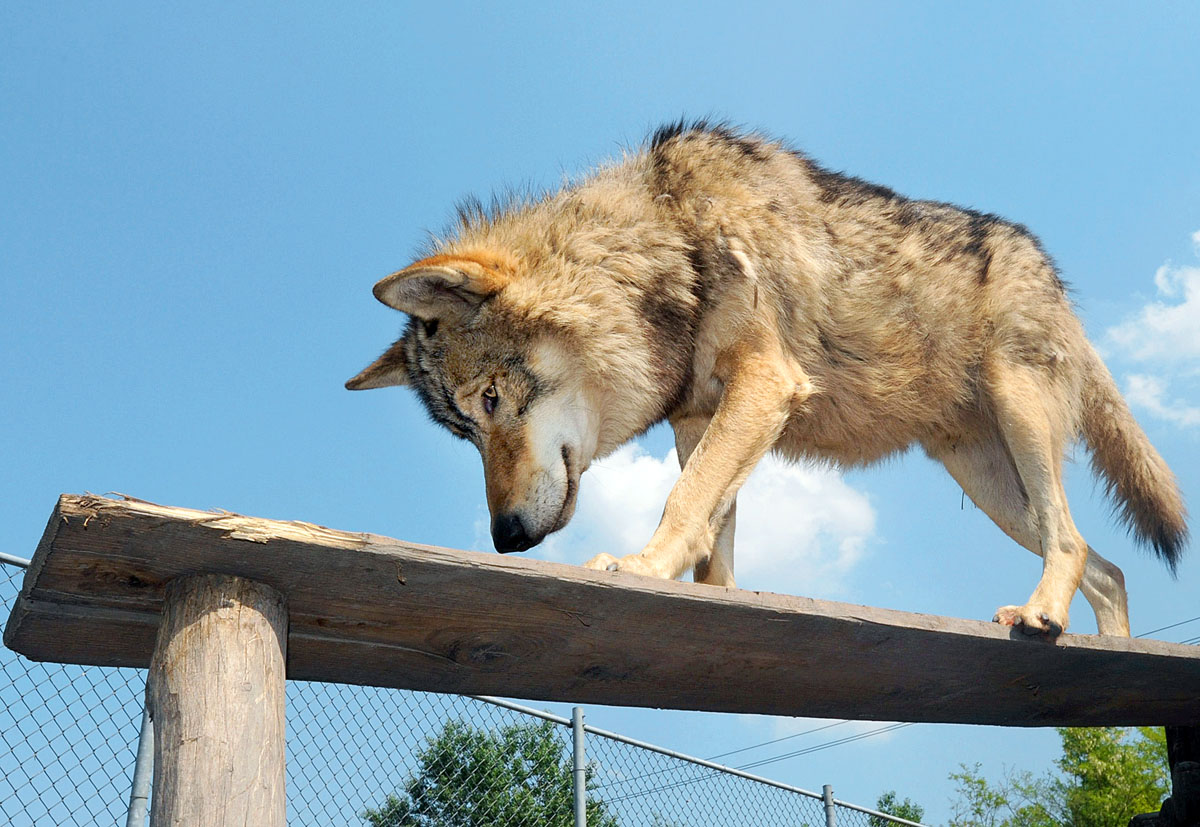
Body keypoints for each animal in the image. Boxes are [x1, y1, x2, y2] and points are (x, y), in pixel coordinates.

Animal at [348, 121, 1180, 638]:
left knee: (1073, 542)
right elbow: (713, 539)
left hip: (1019, 425)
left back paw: (1044, 615)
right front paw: (713, 603)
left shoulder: (765, 384)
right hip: (989, 484)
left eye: (491, 401)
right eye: (464, 431)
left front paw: (640, 566)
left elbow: (683, 501)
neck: (669, 241)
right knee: (1108, 567)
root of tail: (1052, 273)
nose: (507, 538)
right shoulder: (697, 420)